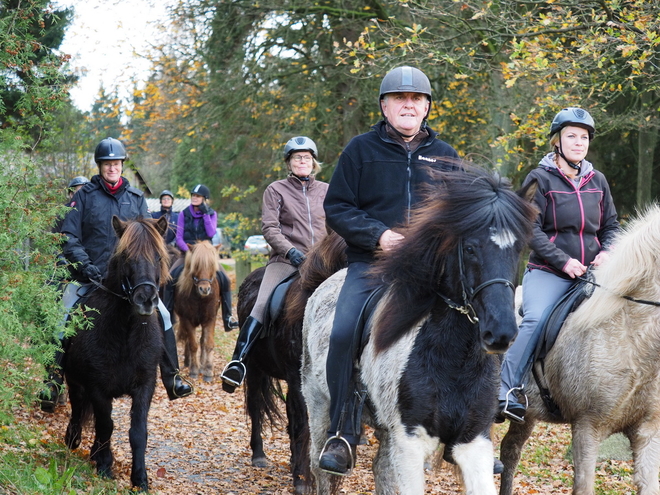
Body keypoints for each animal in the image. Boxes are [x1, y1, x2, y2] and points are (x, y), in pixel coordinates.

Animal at [63, 217, 170, 492]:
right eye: (126, 257)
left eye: (158, 257)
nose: (146, 299)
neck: (126, 333)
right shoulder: (97, 387)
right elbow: (106, 425)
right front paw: (104, 466)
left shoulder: (145, 387)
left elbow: (138, 432)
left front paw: (140, 478)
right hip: (75, 381)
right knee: (78, 408)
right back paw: (73, 440)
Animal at [174, 240, 223, 384]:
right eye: (196, 265)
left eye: (212, 265)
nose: (204, 289)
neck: (200, 298)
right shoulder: (187, 319)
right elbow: (193, 344)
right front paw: (194, 370)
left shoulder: (210, 319)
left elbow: (207, 344)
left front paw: (208, 371)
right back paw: (188, 362)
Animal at [302, 168, 540, 495]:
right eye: (470, 247)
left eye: (518, 249)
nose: (501, 332)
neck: (453, 360)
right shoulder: (410, 442)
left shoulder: (473, 443)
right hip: (318, 404)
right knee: (320, 468)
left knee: (381, 470)